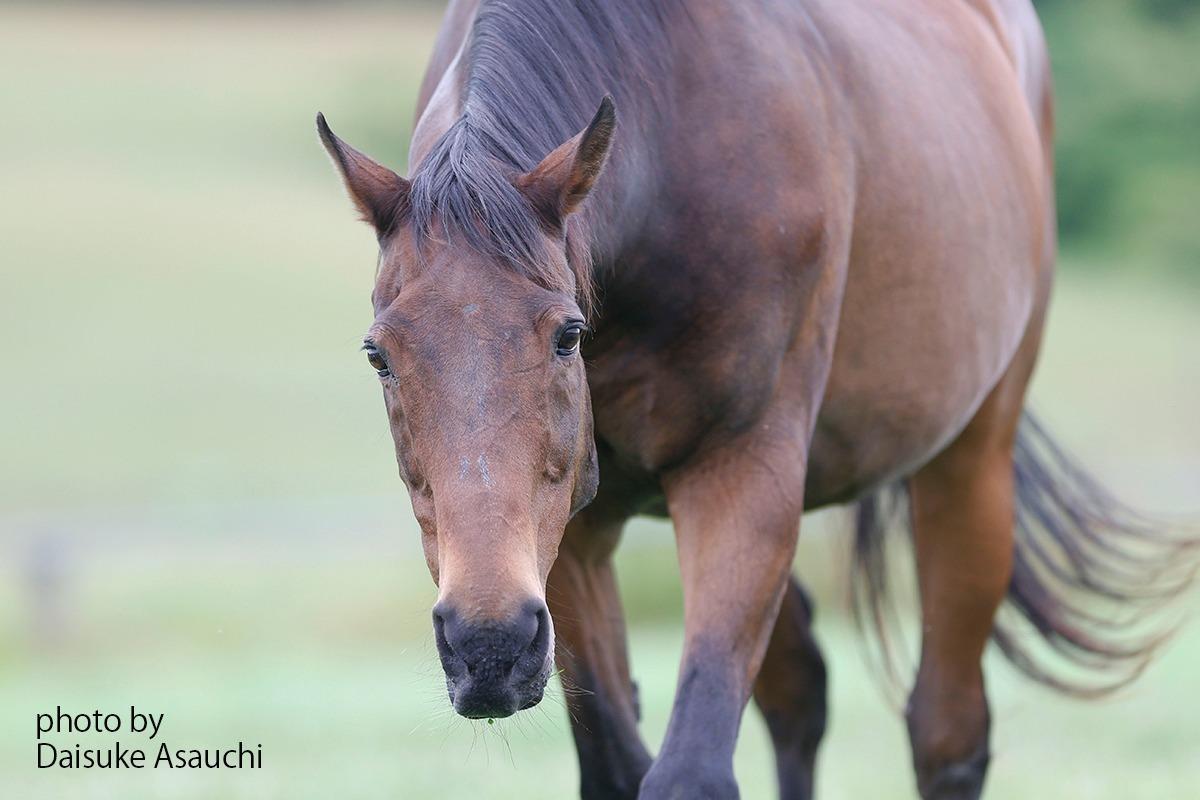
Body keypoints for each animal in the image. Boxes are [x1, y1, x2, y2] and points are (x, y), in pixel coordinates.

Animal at [319, 1, 1200, 800]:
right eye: (379, 356)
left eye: (568, 336)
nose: (490, 646)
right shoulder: (573, 531)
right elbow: (618, 766)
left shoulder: (742, 474)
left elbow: (690, 774)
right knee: (802, 692)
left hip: (970, 465)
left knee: (947, 736)